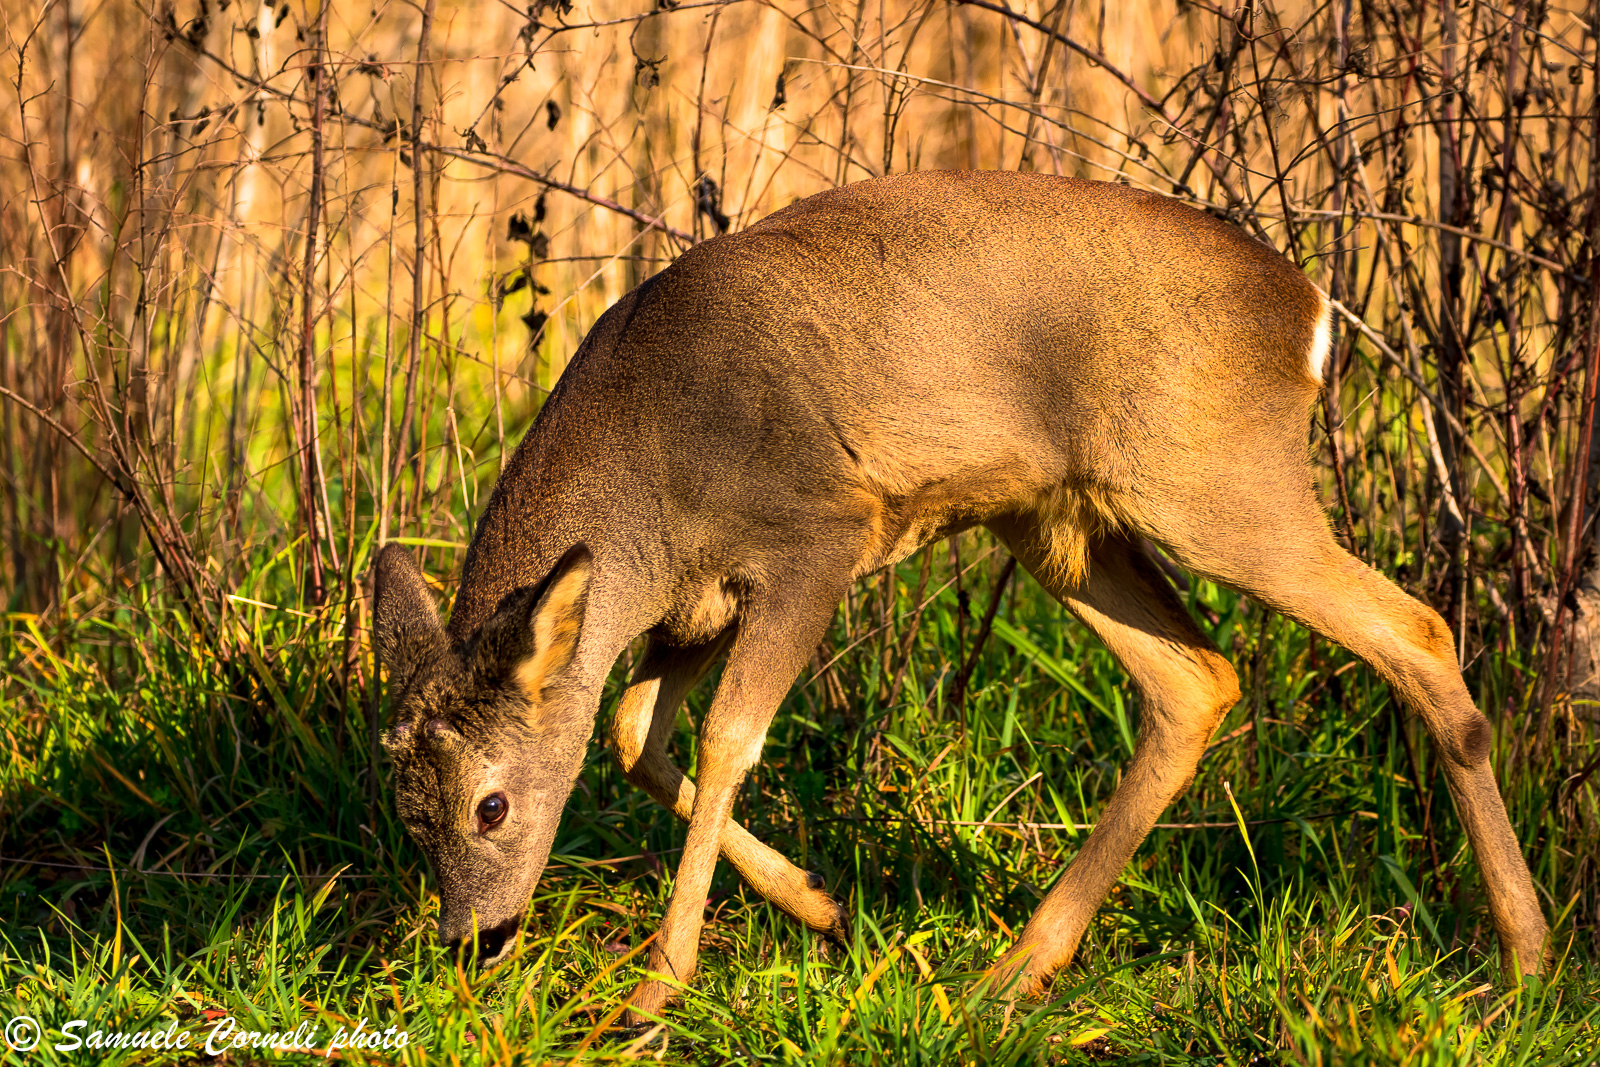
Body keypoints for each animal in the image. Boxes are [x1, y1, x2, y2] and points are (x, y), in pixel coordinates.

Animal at [372, 170, 1550, 1022]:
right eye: (408, 809)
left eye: (491, 803)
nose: (474, 939)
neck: (651, 478)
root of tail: (1311, 313)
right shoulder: (694, 602)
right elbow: (625, 730)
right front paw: (820, 903)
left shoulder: (814, 534)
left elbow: (728, 737)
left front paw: (657, 990)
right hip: (1058, 522)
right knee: (1198, 678)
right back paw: (1014, 970)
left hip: (1213, 482)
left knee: (1416, 627)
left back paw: (1529, 957)